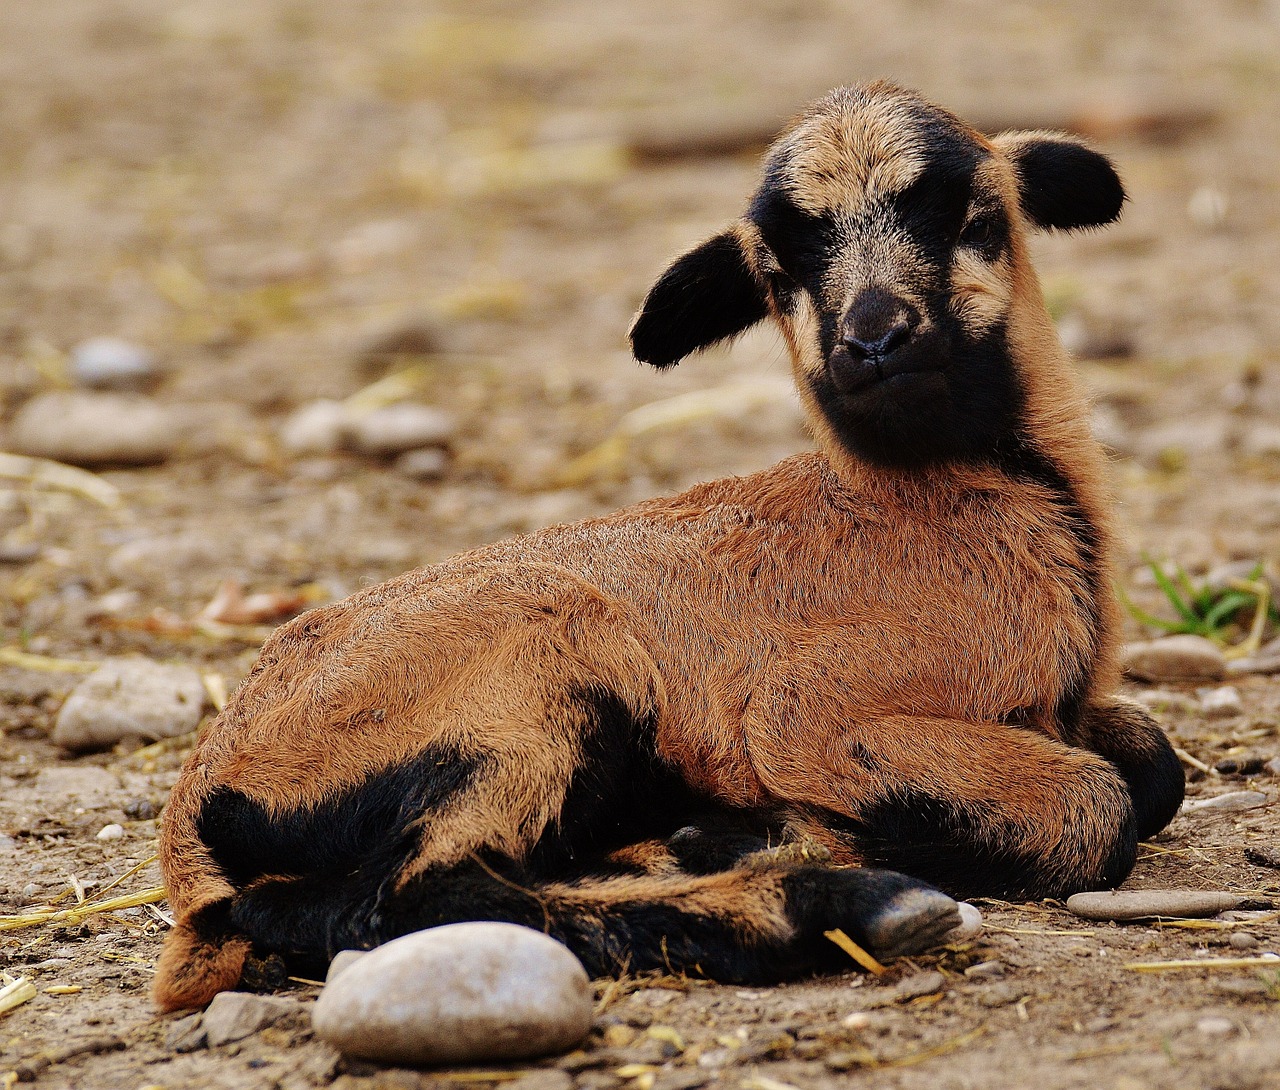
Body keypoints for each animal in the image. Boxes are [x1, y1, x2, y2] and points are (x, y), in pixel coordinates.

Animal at [154, 83, 1182, 1013]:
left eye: (976, 217)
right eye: (777, 275)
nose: (872, 340)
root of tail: (197, 804)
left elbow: (1155, 763)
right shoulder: (811, 717)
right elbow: (1097, 806)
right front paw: (780, 836)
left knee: (309, 907)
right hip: (528, 685)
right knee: (416, 897)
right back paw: (821, 899)